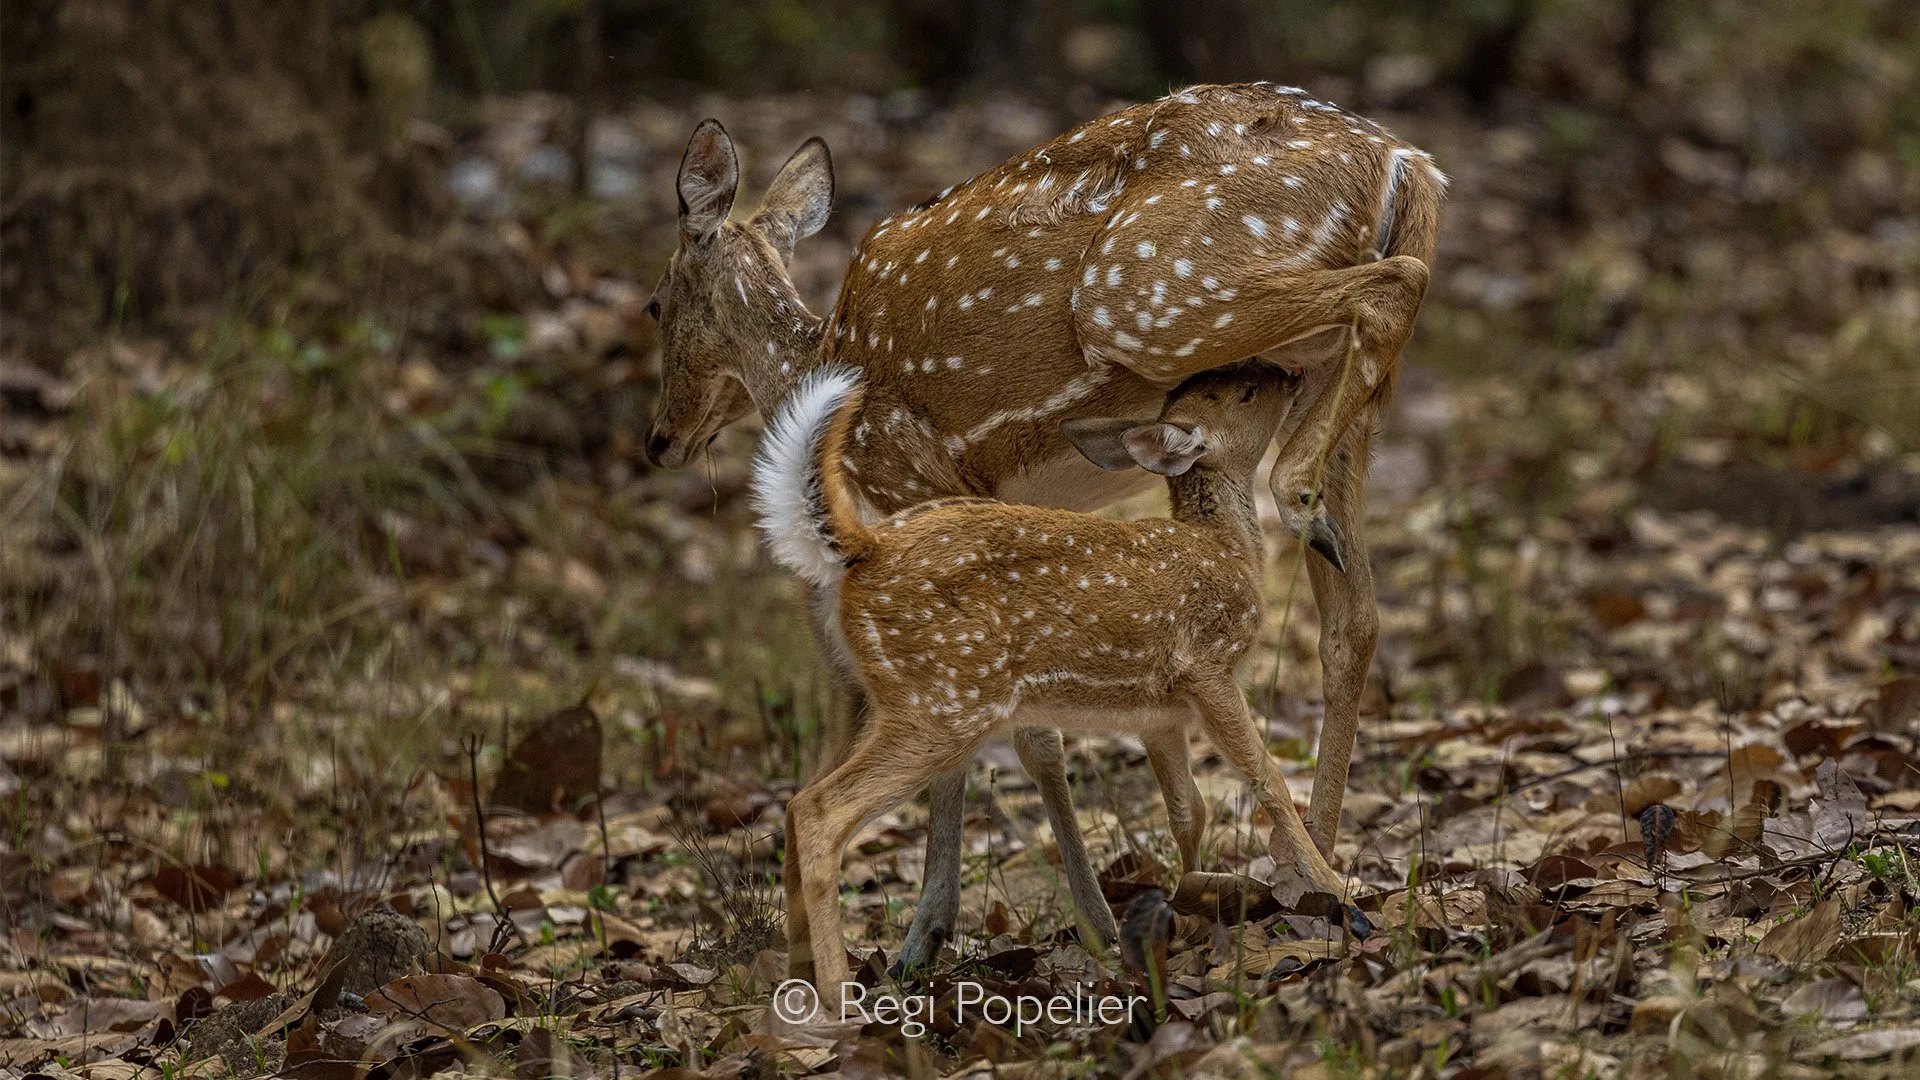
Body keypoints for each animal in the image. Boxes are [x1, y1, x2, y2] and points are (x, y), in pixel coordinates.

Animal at [754, 361, 1366, 991]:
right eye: (1246, 392)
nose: (1288, 372)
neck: (1228, 550)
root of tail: (863, 547)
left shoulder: (1160, 712)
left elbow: (1187, 809)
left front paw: (1191, 910)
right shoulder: (1207, 666)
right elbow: (1268, 779)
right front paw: (1343, 889)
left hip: (880, 699)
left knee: (796, 804)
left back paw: (796, 980)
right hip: (943, 702)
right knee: (819, 811)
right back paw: (837, 995)